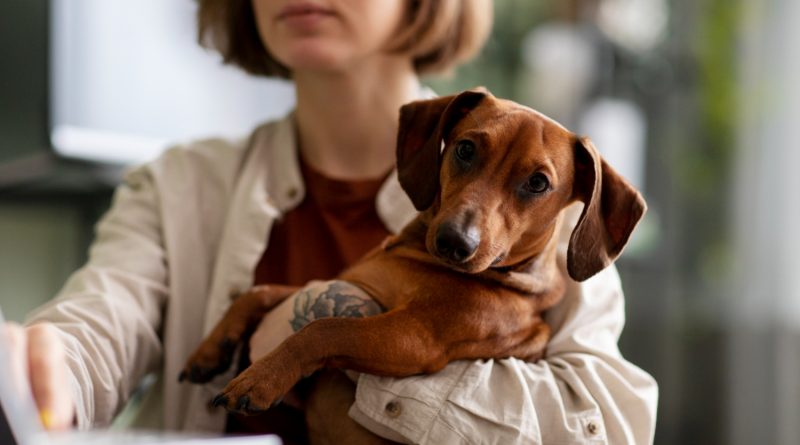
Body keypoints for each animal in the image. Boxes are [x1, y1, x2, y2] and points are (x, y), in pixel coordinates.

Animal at [180, 89, 644, 434]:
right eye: (465, 149)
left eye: (538, 183)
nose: (455, 241)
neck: (418, 260)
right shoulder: (344, 285)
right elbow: (260, 292)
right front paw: (209, 349)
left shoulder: (415, 338)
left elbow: (322, 327)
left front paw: (260, 377)